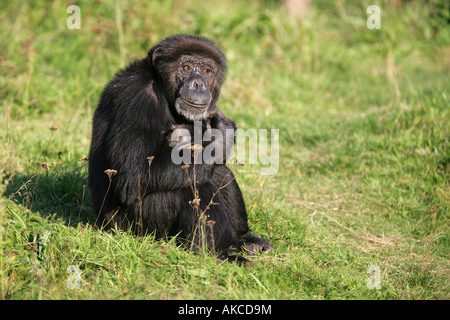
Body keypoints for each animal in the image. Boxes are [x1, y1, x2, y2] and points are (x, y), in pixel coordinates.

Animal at [87, 34, 270, 260]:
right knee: (194, 188)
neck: (163, 89)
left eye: (207, 71)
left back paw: (246, 240)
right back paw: (221, 254)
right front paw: (223, 134)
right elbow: (133, 173)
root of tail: (104, 225)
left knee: (217, 172)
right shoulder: (138, 100)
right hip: (136, 228)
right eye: (186, 67)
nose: (198, 83)